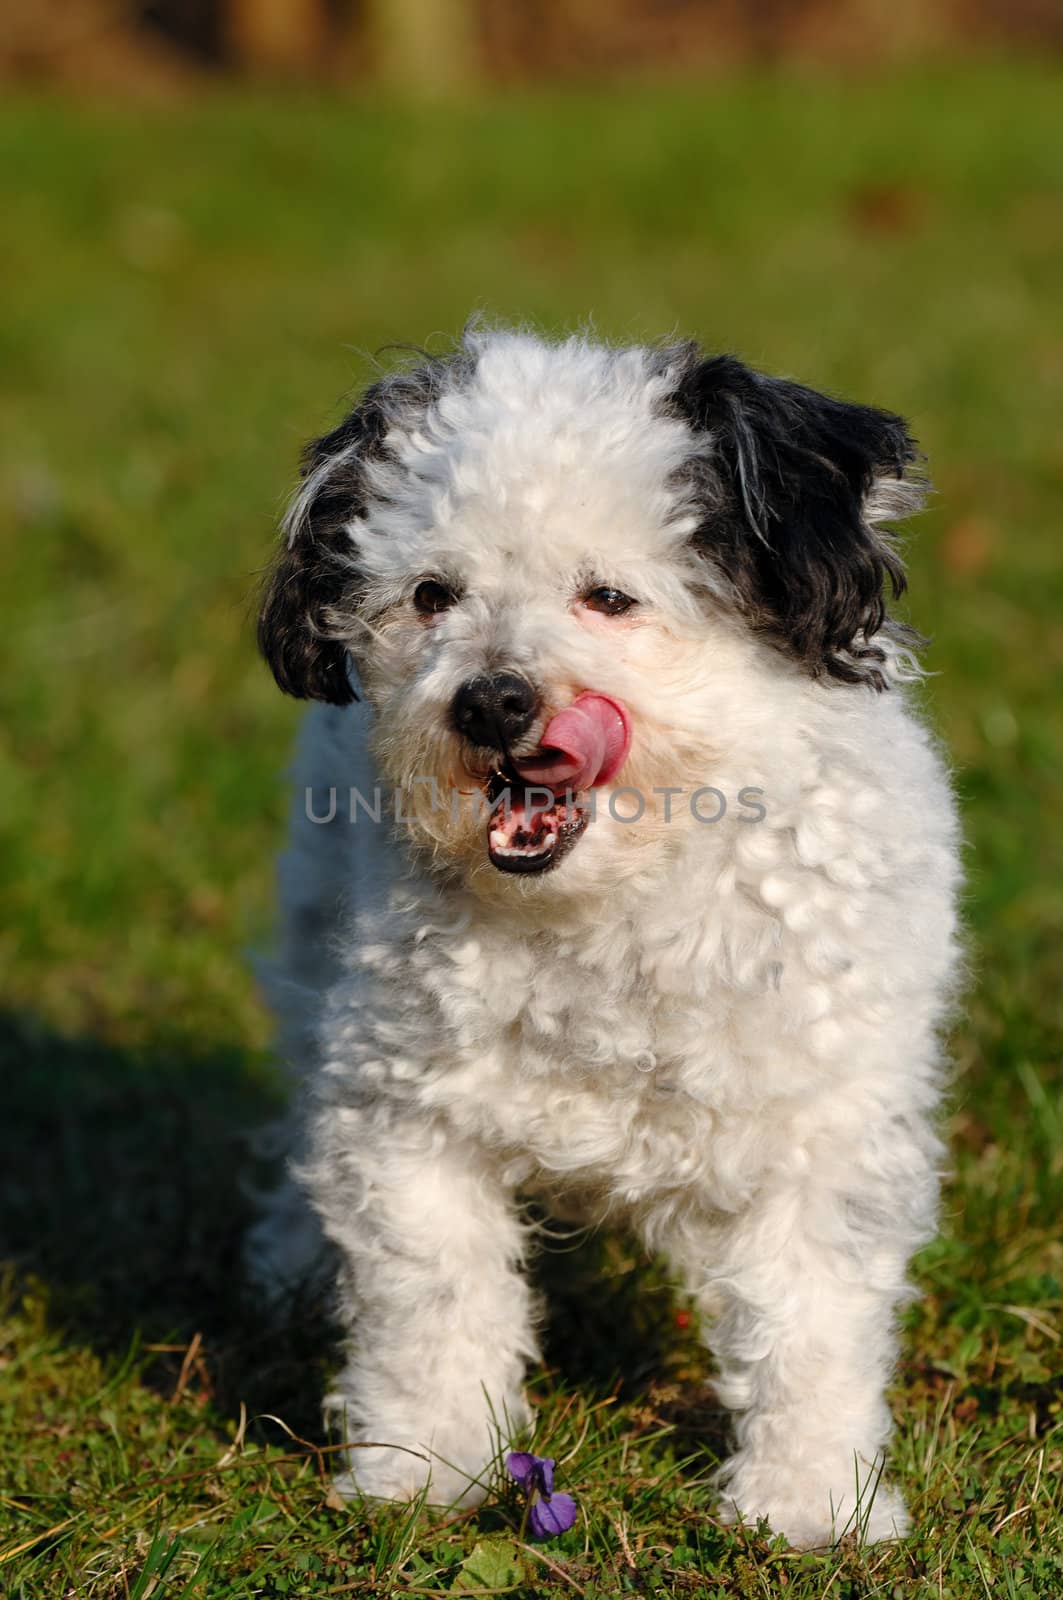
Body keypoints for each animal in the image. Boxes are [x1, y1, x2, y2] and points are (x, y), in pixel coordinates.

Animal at [251, 328, 960, 1548]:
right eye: (431, 595)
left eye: (610, 596)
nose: (491, 702)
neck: (608, 908)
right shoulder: (409, 1112)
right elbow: (431, 1303)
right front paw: (423, 1471)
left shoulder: (823, 1127)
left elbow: (809, 1323)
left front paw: (810, 1501)